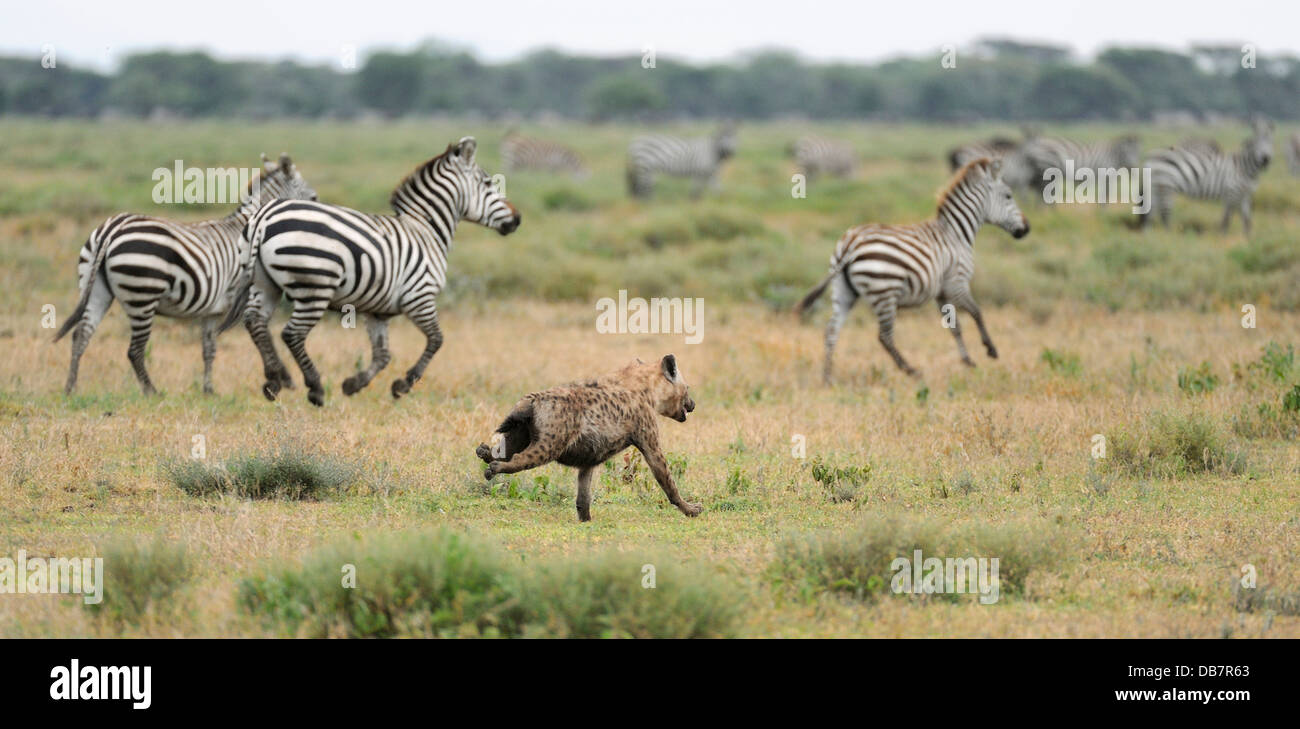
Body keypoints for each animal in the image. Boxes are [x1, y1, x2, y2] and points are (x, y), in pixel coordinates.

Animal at [55, 151, 319, 395]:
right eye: (313, 197)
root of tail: (112, 228)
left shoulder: (213, 310)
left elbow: (209, 349)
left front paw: (209, 390)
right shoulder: (249, 295)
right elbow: (260, 331)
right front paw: (284, 378)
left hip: (96, 289)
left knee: (81, 335)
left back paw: (70, 388)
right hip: (142, 294)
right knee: (135, 350)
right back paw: (151, 392)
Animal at [218, 134, 517, 405]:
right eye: (488, 183)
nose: (517, 219)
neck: (425, 230)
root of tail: (263, 217)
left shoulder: (378, 310)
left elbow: (383, 355)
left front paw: (354, 384)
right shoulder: (420, 296)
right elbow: (436, 340)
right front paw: (402, 385)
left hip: (265, 283)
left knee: (255, 322)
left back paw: (275, 380)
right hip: (315, 286)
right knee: (292, 333)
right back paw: (314, 387)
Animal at [795, 159, 1029, 384]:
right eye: (1008, 196)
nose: (1027, 228)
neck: (956, 233)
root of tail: (849, 245)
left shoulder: (941, 292)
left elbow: (955, 326)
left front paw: (968, 360)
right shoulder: (958, 282)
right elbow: (977, 312)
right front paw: (991, 349)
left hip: (844, 291)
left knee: (831, 331)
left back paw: (827, 378)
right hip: (884, 292)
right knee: (884, 336)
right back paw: (911, 370)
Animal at [1144, 116, 1274, 231]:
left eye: (1270, 142)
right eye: (1256, 143)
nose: (1265, 160)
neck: (1243, 167)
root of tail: (1151, 155)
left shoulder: (1245, 196)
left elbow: (1247, 221)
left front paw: (1247, 240)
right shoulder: (1232, 193)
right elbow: (1226, 220)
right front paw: (1223, 237)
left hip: (1156, 186)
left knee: (1150, 212)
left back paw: (1149, 236)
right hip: (1166, 186)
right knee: (1164, 214)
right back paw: (1168, 237)